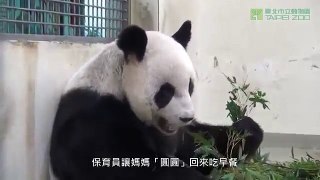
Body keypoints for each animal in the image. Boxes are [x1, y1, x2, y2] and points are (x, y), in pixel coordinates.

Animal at [49, 20, 262, 179]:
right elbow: (124, 164)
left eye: (190, 86)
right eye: (165, 92)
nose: (187, 117)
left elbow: (201, 144)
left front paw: (246, 131)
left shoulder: (179, 134)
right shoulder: (93, 117)